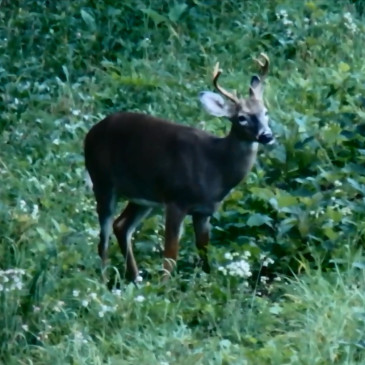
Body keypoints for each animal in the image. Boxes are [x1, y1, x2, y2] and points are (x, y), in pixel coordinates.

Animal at [84, 53, 272, 282]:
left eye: (265, 112)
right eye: (241, 118)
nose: (266, 135)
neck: (216, 166)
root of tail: (91, 132)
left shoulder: (204, 211)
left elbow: (204, 254)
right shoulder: (176, 200)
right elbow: (170, 258)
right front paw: (164, 287)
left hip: (143, 195)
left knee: (121, 226)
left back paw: (136, 279)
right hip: (101, 181)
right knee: (103, 239)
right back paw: (104, 282)